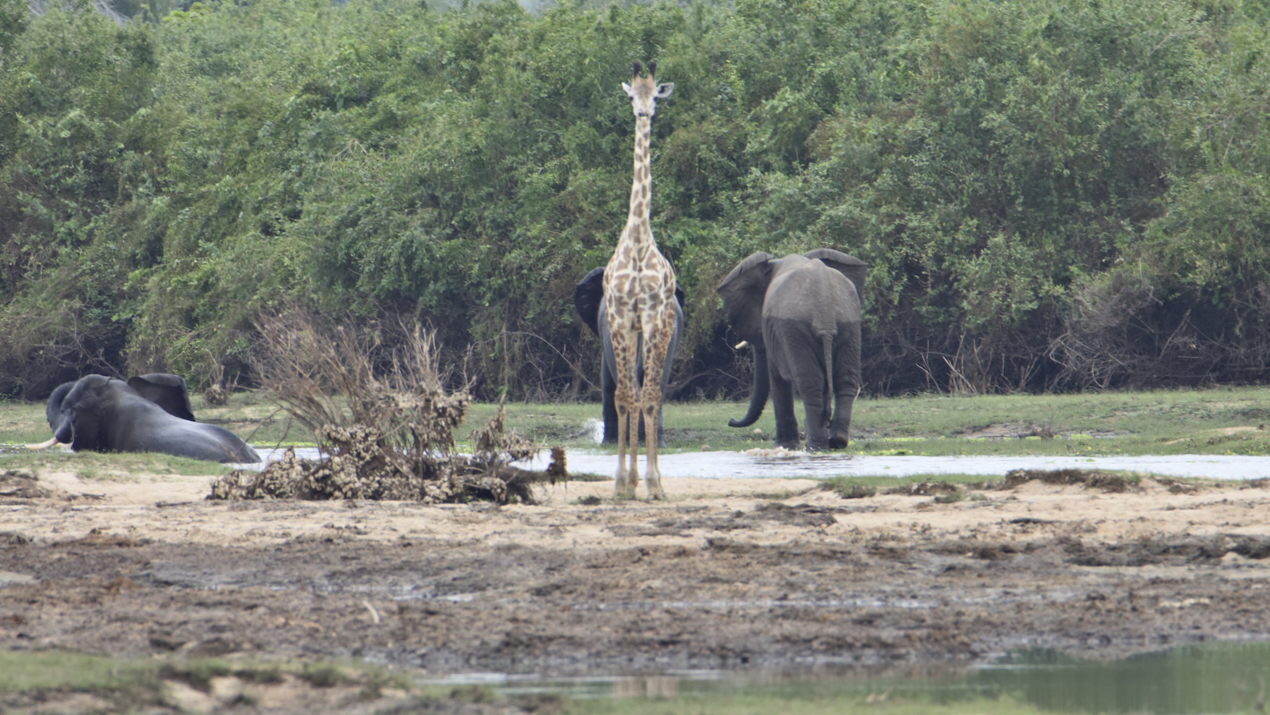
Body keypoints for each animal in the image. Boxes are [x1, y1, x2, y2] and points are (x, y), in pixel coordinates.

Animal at [721, 248, 868, 449]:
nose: (731, 420)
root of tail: (824, 318)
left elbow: (777, 378)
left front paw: (783, 446)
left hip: (794, 330)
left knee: (809, 382)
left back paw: (815, 446)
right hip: (849, 324)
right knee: (845, 380)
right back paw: (837, 441)